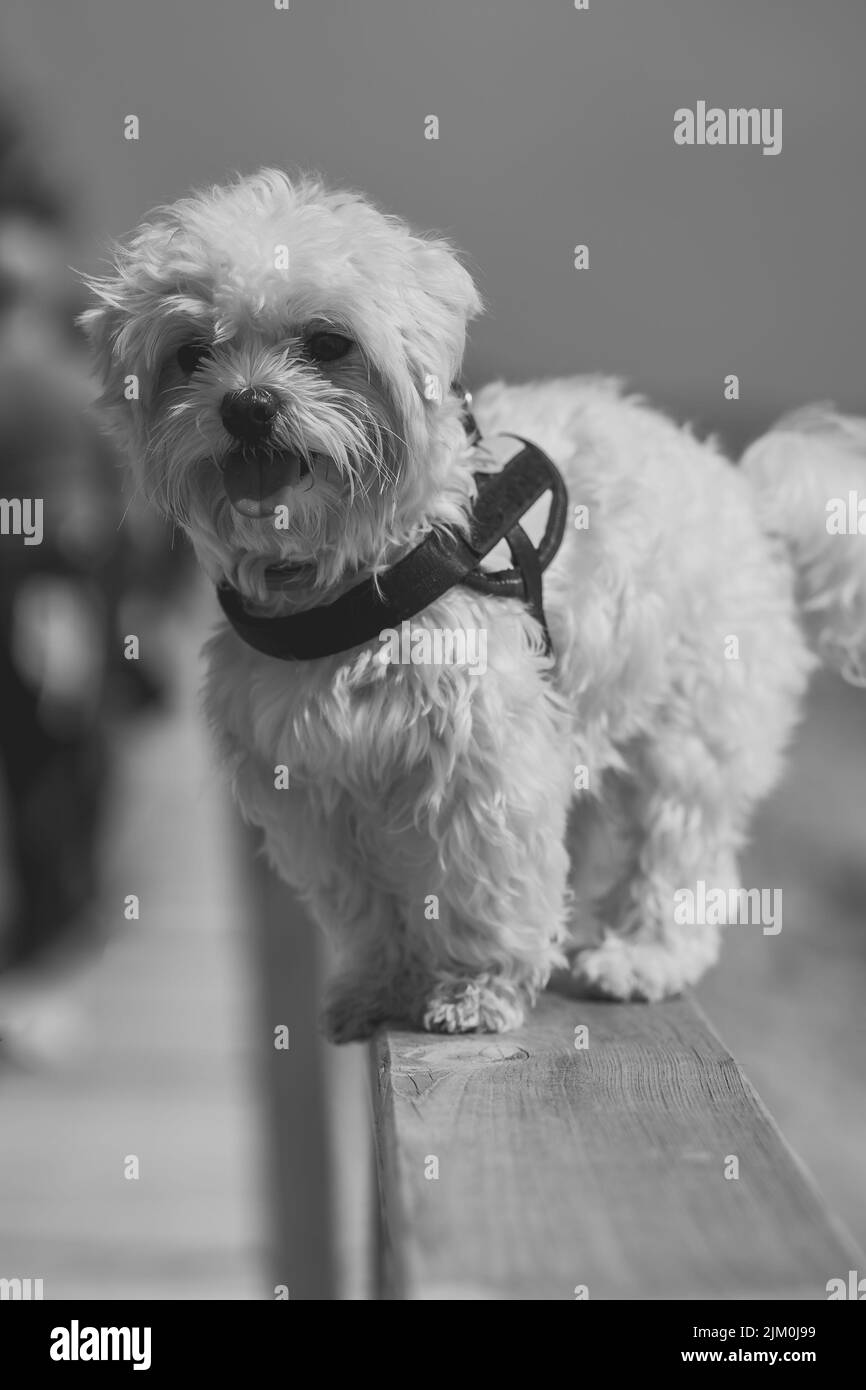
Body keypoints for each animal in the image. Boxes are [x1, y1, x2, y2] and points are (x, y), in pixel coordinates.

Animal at [84, 173, 866, 1039]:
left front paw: (477, 986)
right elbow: (366, 902)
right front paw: (380, 985)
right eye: (191, 354)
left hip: (692, 728)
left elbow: (483, 880)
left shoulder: (480, 760)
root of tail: (747, 493)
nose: (248, 405)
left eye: (327, 343)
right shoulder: (312, 786)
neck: (349, 576)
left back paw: (641, 957)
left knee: (680, 852)